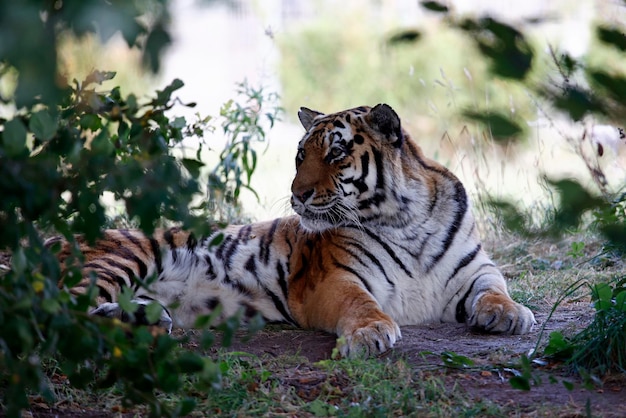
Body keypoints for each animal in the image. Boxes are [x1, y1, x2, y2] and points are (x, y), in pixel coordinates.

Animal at [51, 103, 532, 356]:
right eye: (301, 155)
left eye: (336, 153)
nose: (297, 194)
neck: (404, 219)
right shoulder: (336, 278)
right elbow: (361, 303)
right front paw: (371, 333)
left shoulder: (476, 269)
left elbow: (495, 288)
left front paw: (511, 314)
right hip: (121, 259)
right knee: (56, 311)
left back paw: (141, 319)